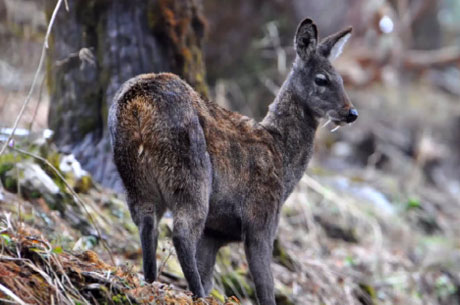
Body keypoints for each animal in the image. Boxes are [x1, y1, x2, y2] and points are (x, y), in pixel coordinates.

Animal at [109, 17, 358, 302]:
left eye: (341, 79)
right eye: (322, 79)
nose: (351, 113)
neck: (281, 157)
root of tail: (138, 103)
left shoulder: (215, 231)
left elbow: (208, 271)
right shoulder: (261, 217)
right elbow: (266, 287)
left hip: (135, 177)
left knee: (146, 224)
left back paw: (150, 283)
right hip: (190, 172)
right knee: (181, 232)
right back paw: (195, 295)